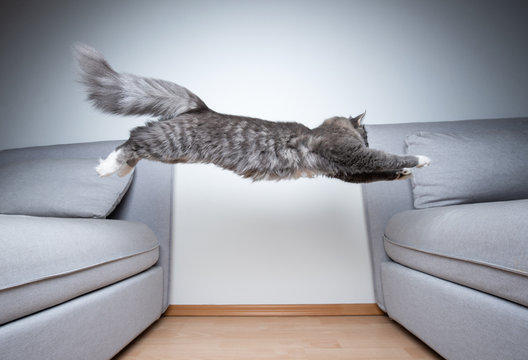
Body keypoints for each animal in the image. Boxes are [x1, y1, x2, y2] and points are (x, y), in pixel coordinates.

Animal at [75, 43, 428, 183]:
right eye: (366, 133)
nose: (367, 139)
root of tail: (202, 107)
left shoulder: (344, 171)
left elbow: (380, 171)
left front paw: (402, 173)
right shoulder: (351, 156)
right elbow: (387, 158)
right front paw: (420, 160)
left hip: (171, 152)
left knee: (136, 144)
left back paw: (120, 171)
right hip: (168, 142)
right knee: (133, 138)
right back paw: (109, 167)